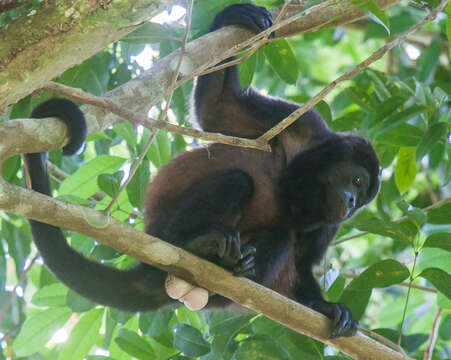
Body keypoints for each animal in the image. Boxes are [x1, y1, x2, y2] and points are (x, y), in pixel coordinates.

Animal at [23, 4, 380, 338]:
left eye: (363, 198)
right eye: (356, 180)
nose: (351, 203)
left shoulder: (329, 225)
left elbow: (304, 264)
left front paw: (326, 306)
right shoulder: (303, 124)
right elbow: (218, 109)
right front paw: (234, 15)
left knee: (281, 235)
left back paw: (235, 267)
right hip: (161, 229)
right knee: (237, 181)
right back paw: (194, 244)